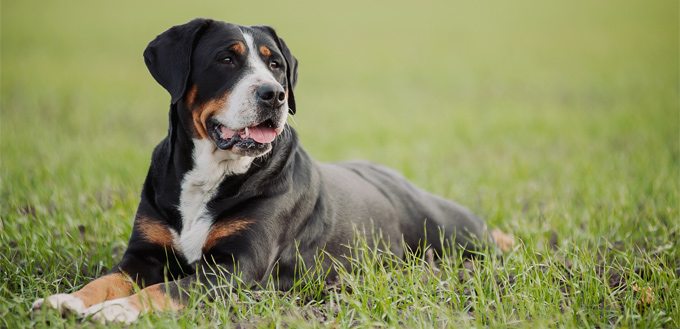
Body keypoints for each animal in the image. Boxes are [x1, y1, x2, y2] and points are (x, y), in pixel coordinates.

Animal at [30, 18, 510, 322]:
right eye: (226, 59)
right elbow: (106, 280)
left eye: (275, 63)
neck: (211, 174)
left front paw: (113, 311)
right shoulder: (144, 255)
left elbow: (166, 290)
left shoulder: (235, 267)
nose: (274, 94)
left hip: (452, 234)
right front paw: (66, 301)